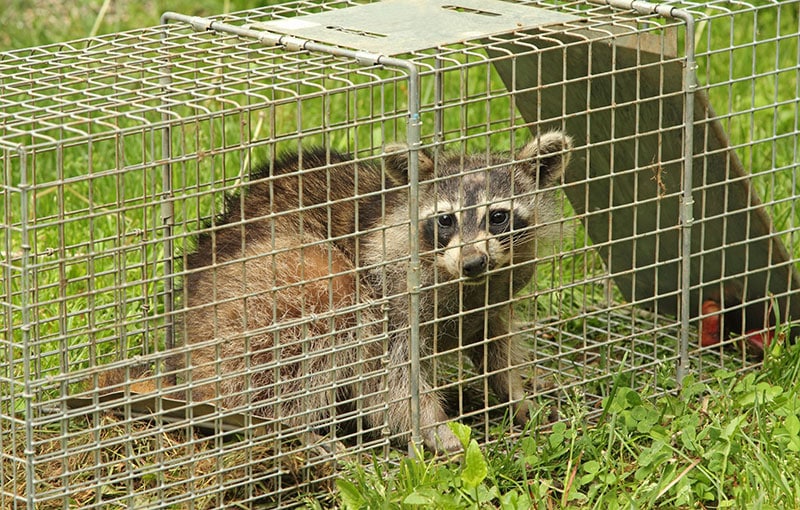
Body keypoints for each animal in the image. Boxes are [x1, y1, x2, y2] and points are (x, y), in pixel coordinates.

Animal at [173, 131, 568, 454]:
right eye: (446, 219)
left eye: (498, 216)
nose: (473, 262)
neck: (463, 283)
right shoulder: (392, 295)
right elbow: (394, 381)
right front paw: (433, 427)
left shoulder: (496, 294)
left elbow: (496, 347)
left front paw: (517, 396)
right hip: (259, 294)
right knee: (319, 312)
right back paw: (293, 428)